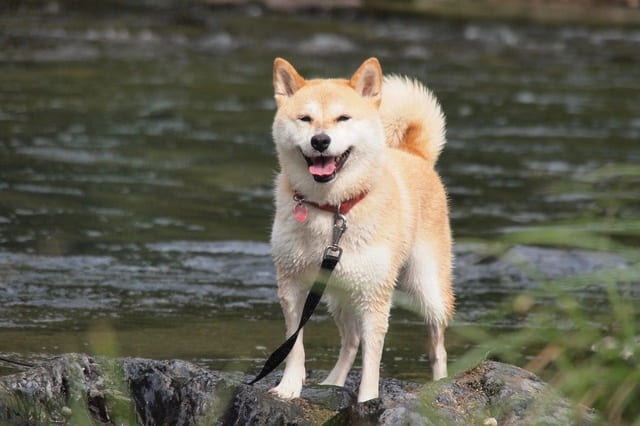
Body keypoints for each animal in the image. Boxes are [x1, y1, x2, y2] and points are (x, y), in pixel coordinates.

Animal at [268, 57, 452, 402]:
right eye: (305, 118)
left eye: (343, 118)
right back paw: (332, 383)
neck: (332, 211)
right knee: (351, 340)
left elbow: (373, 358)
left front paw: (368, 400)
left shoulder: (375, 296)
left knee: (437, 344)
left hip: (427, 287)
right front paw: (289, 387)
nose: (320, 141)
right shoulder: (292, 285)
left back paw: (441, 383)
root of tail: (414, 152)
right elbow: (294, 344)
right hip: (337, 294)